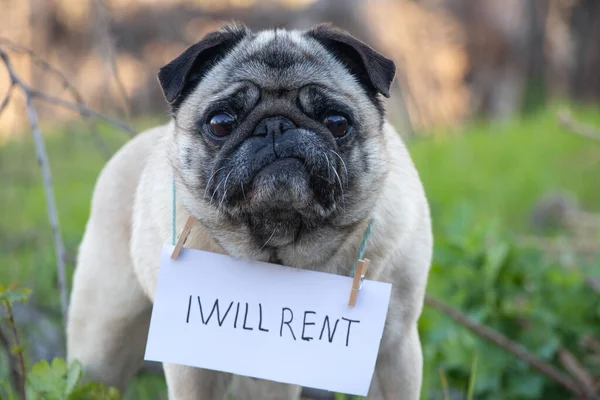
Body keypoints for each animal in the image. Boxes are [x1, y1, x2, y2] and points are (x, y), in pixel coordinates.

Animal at [64, 23, 432, 398]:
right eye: (221, 123)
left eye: (337, 121)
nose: (276, 126)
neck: (282, 247)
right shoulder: (192, 365)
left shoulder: (393, 350)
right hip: (103, 340)